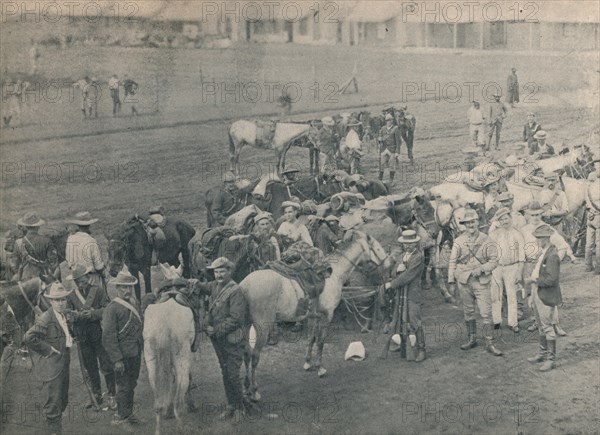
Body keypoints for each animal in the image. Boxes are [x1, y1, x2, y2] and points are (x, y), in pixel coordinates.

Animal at [144, 300, 195, 435]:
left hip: (151, 363)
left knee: (157, 399)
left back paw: (158, 428)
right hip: (182, 360)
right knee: (179, 398)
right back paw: (180, 425)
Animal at [239, 230, 390, 404]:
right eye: (377, 248)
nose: (388, 263)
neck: (334, 274)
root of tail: (244, 286)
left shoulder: (313, 316)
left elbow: (311, 338)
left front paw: (307, 362)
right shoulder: (327, 315)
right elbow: (321, 341)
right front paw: (320, 367)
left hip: (246, 326)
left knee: (245, 354)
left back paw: (246, 387)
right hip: (262, 327)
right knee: (254, 356)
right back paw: (254, 391)